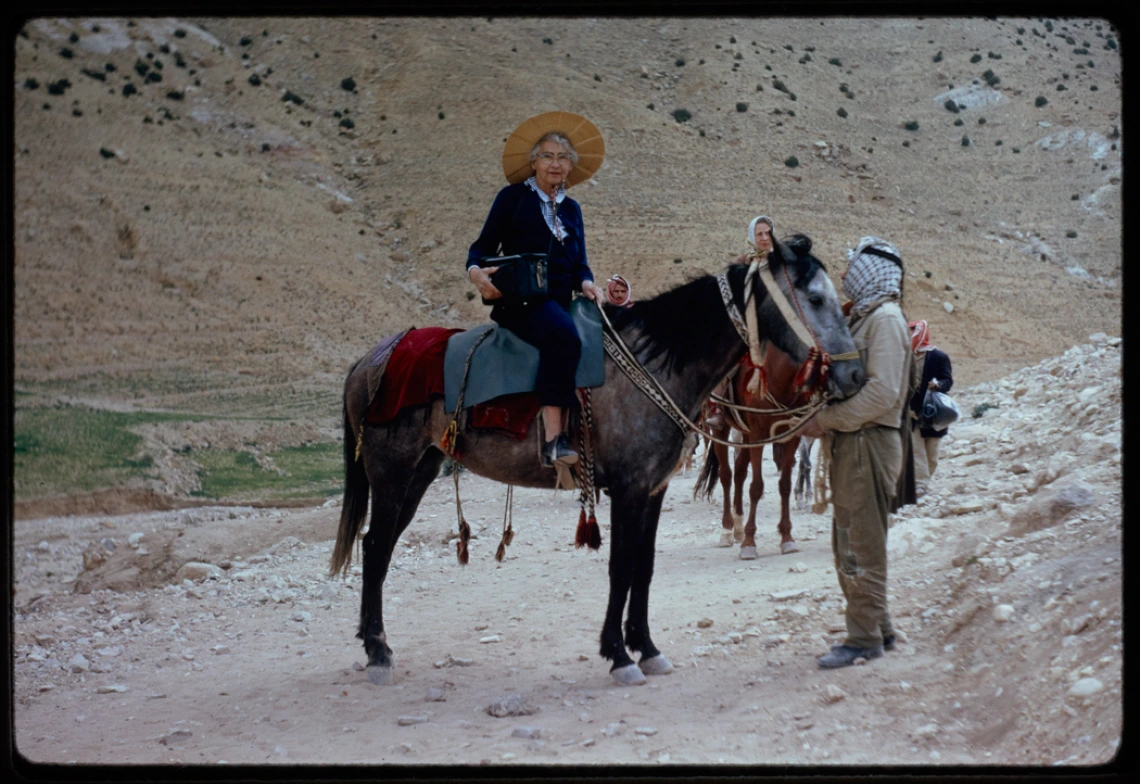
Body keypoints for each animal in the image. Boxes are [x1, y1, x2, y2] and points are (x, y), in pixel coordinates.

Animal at [693, 341, 811, 558]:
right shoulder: (758, 435)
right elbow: (756, 487)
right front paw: (749, 543)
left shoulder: (792, 435)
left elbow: (785, 485)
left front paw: (787, 538)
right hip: (721, 429)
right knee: (726, 475)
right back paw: (727, 530)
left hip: (745, 432)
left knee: (740, 471)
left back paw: (738, 526)